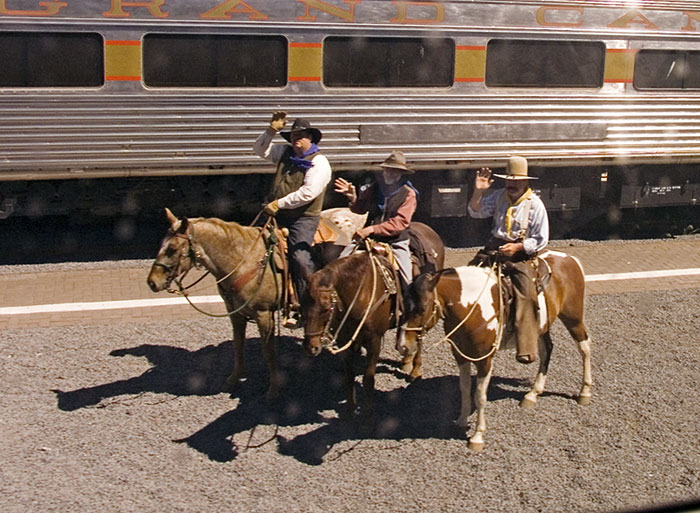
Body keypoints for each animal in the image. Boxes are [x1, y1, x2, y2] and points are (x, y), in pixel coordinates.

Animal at [396, 250, 592, 450]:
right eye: (403, 305)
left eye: (422, 308)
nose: (402, 345)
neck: (472, 305)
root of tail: (569, 258)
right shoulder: (460, 355)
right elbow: (464, 388)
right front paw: (461, 420)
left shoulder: (485, 359)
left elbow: (480, 396)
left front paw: (477, 437)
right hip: (541, 328)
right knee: (547, 350)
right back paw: (532, 394)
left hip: (573, 317)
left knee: (585, 347)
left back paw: (584, 392)